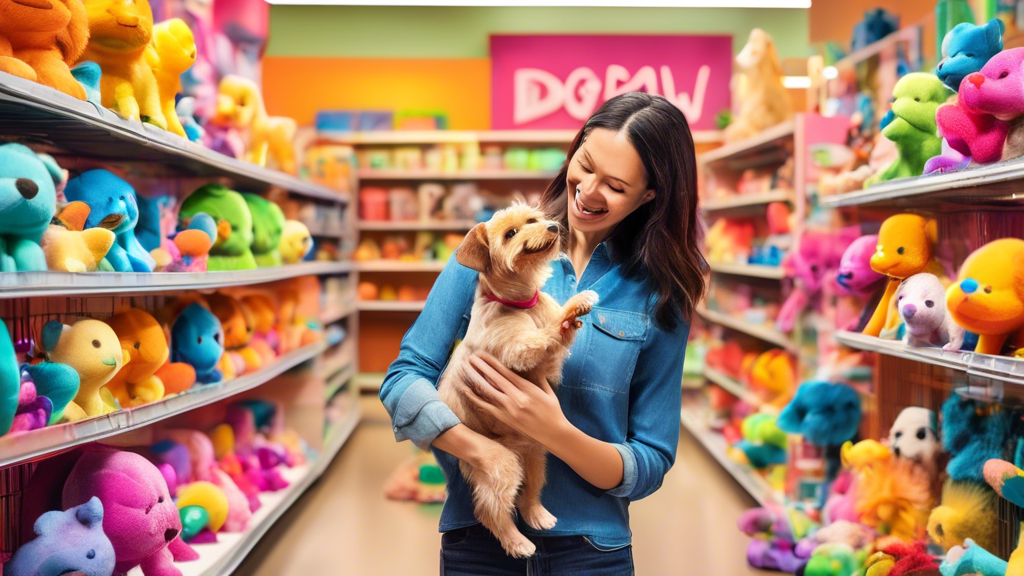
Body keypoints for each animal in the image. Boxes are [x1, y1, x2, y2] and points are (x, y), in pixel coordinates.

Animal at [436, 202, 598, 557]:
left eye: (532, 220)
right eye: (510, 233)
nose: (552, 227)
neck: (523, 302)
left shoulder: (546, 366)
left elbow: (556, 337)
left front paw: (571, 315)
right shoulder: (521, 350)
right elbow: (544, 333)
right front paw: (575, 304)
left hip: (536, 456)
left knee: (528, 496)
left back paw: (537, 515)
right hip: (502, 466)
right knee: (490, 511)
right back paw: (516, 541)